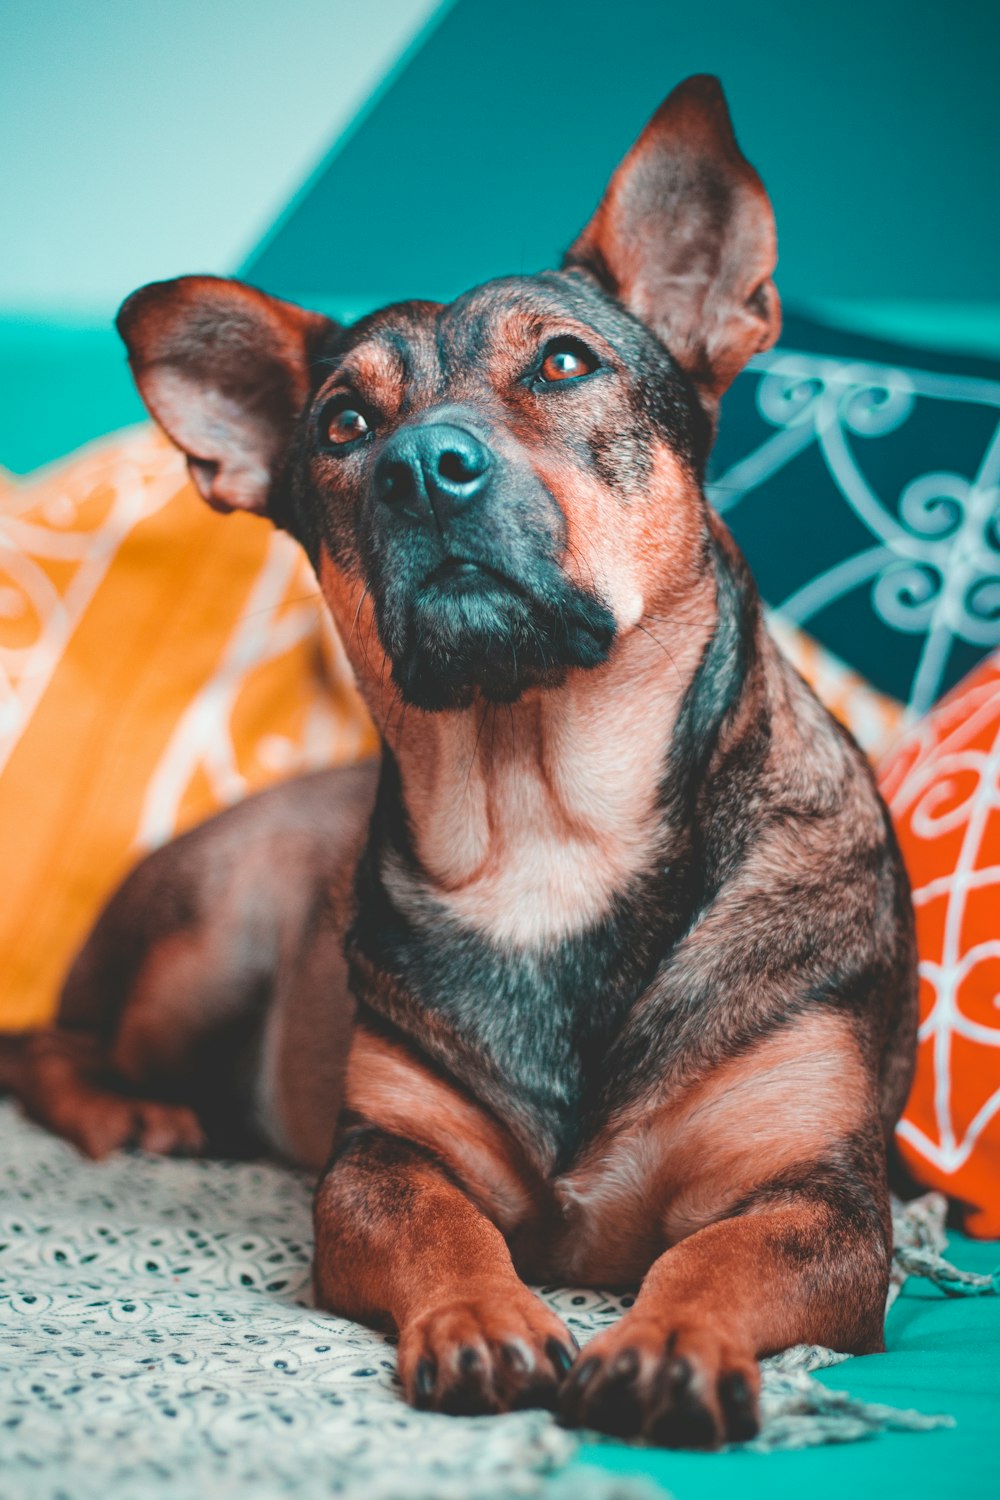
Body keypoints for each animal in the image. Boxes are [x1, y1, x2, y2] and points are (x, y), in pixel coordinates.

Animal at [13, 79, 917, 1440]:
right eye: (342, 424)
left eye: (563, 362)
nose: (421, 472)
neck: (547, 824)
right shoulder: (384, 1158)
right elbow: (443, 1233)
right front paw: (484, 1322)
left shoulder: (823, 1196)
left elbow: (715, 1254)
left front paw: (666, 1345)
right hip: (209, 944)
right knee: (46, 1048)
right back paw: (134, 1111)